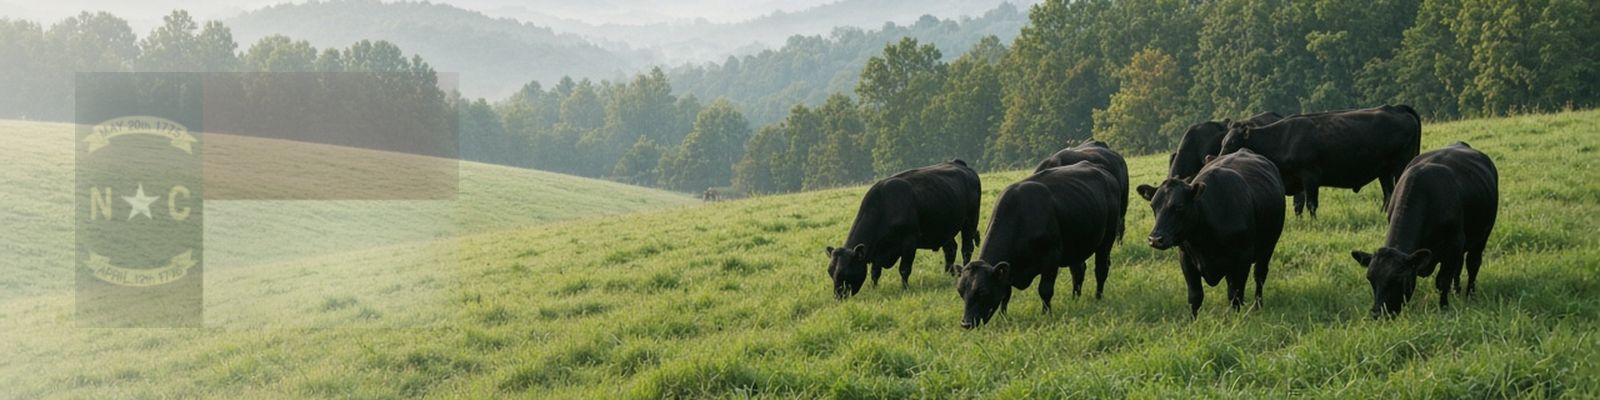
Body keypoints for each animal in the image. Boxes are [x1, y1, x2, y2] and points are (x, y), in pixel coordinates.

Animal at [826, 160, 981, 299]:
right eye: (830, 272)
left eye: (845, 272)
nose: (838, 297)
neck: (884, 206)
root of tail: (959, 163)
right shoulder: (878, 250)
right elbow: (875, 272)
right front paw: (874, 288)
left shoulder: (909, 242)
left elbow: (904, 269)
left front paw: (905, 288)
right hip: (945, 228)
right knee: (950, 249)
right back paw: (947, 274)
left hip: (970, 221)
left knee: (966, 249)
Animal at [957, 161, 1123, 328]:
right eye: (960, 292)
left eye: (982, 291)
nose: (966, 323)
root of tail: (1104, 172)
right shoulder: (1007, 269)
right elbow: (1005, 294)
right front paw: (1003, 316)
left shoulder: (1051, 258)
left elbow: (1045, 289)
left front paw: (1046, 314)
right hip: (1076, 247)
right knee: (1078, 272)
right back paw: (1075, 299)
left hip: (1107, 239)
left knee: (1101, 269)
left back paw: (1098, 297)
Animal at [1137, 149, 1285, 317]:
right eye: (1153, 205)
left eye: (1179, 206)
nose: (1155, 239)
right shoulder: (1186, 258)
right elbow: (1195, 296)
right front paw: (1192, 320)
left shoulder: (1243, 257)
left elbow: (1236, 294)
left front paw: (1236, 318)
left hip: (1268, 247)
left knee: (1259, 275)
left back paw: (1258, 305)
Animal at [1218, 105, 1421, 218]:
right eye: (1223, 142)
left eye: (1232, 143)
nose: (1218, 159)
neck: (1283, 139)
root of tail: (1395, 108)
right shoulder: (1297, 182)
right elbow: (1298, 206)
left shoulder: (1310, 176)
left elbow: (1311, 204)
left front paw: (1313, 224)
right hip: (1384, 170)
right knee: (1388, 193)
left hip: (1401, 164)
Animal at [1350, 142, 1498, 318]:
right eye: (1370, 279)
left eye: (1398, 280)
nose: (1378, 313)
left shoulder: (1454, 243)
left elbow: (1442, 280)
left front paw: (1444, 308)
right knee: (1460, 264)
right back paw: (1456, 290)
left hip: (1483, 234)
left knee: (1472, 263)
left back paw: (1470, 294)